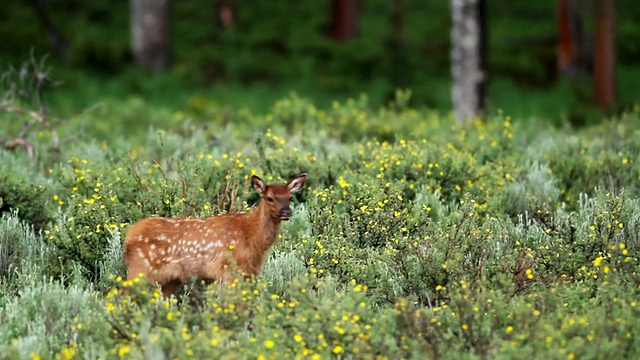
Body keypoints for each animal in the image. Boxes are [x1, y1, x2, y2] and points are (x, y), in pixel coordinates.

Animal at [124, 174, 308, 296]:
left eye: (289, 197)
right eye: (269, 198)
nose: (287, 212)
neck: (251, 236)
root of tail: (129, 236)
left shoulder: (249, 272)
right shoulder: (228, 270)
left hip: (170, 279)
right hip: (140, 270)